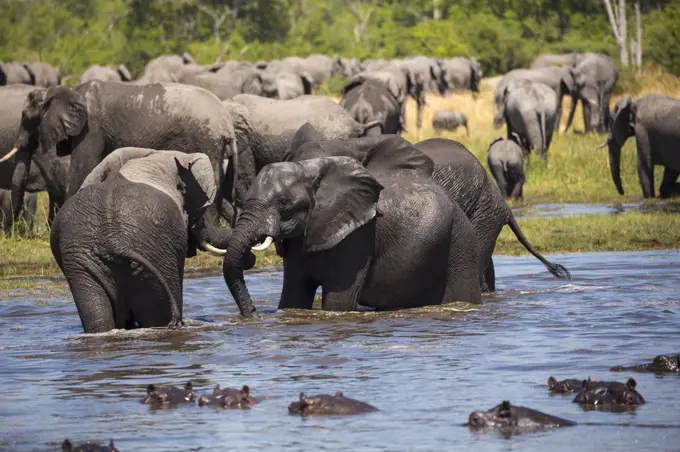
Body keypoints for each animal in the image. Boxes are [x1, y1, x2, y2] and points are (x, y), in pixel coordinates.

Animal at [222, 136, 478, 316]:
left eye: (284, 203)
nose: (253, 315)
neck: (309, 171)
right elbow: (294, 296)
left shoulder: (359, 237)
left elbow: (338, 301)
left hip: (460, 242)